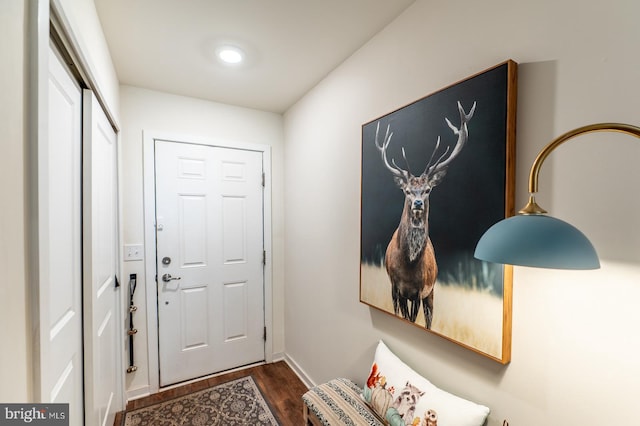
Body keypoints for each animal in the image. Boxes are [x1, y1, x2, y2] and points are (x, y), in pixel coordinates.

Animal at [376, 101, 476, 328]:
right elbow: (401, 314)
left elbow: (413, 319)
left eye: (428, 189)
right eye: (406, 191)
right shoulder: (395, 286)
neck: (409, 266)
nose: (418, 203)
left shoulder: (419, 290)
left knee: (429, 320)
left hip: (431, 293)